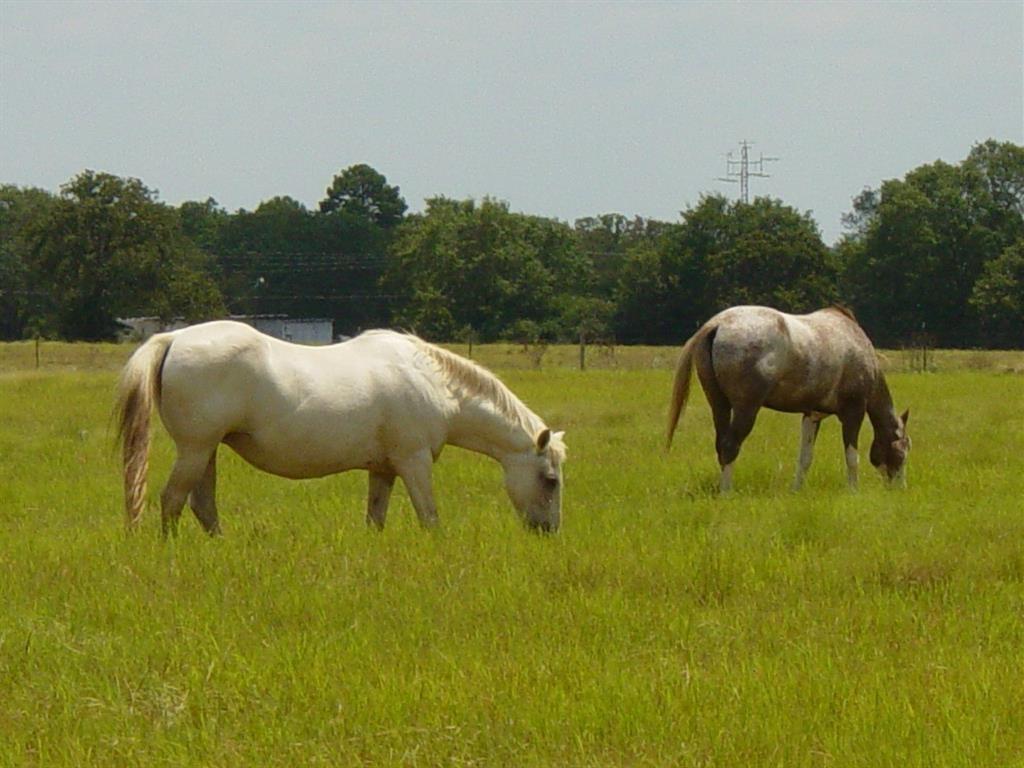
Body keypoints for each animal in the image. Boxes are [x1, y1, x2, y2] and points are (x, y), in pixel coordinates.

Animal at [119, 321, 569, 536]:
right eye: (550, 480)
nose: (548, 531)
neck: (433, 382)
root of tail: (174, 337)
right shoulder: (414, 461)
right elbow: (430, 517)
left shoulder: (383, 470)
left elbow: (375, 520)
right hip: (195, 448)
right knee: (172, 501)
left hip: (206, 451)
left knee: (202, 506)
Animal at [663, 307, 913, 493]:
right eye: (901, 450)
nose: (900, 488)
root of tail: (717, 324)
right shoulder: (854, 412)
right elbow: (852, 456)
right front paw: (853, 491)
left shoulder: (812, 415)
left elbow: (805, 457)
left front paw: (796, 491)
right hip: (746, 409)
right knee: (729, 446)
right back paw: (726, 493)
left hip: (719, 405)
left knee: (721, 445)